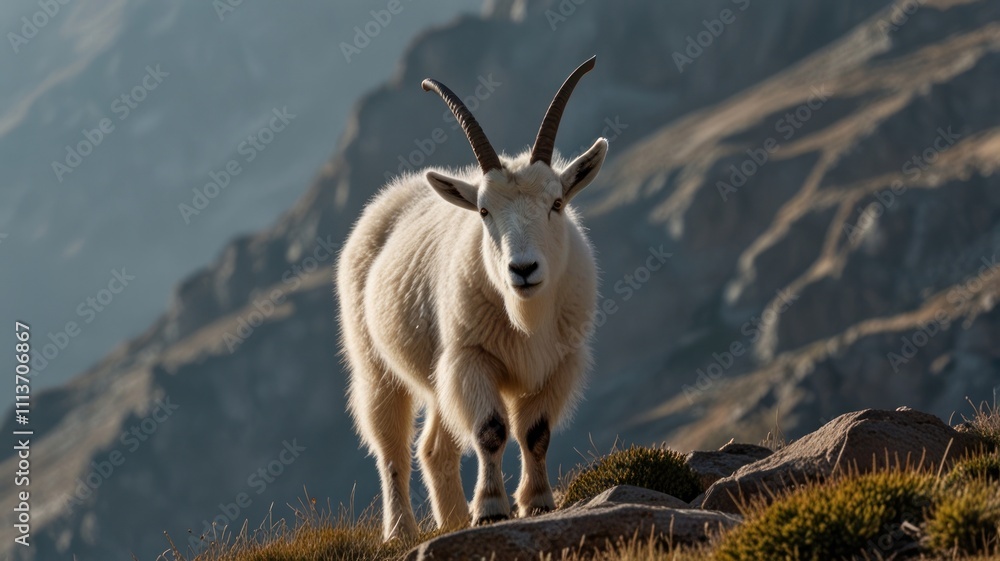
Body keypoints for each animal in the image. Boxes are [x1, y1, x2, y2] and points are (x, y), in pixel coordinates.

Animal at [337, 57, 607, 540]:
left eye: (557, 203)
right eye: (484, 211)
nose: (523, 269)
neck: (526, 319)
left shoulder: (559, 362)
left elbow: (536, 432)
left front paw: (537, 501)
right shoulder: (471, 358)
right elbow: (491, 431)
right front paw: (493, 508)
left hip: (438, 371)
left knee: (434, 447)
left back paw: (453, 520)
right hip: (375, 363)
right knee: (391, 443)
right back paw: (401, 530)